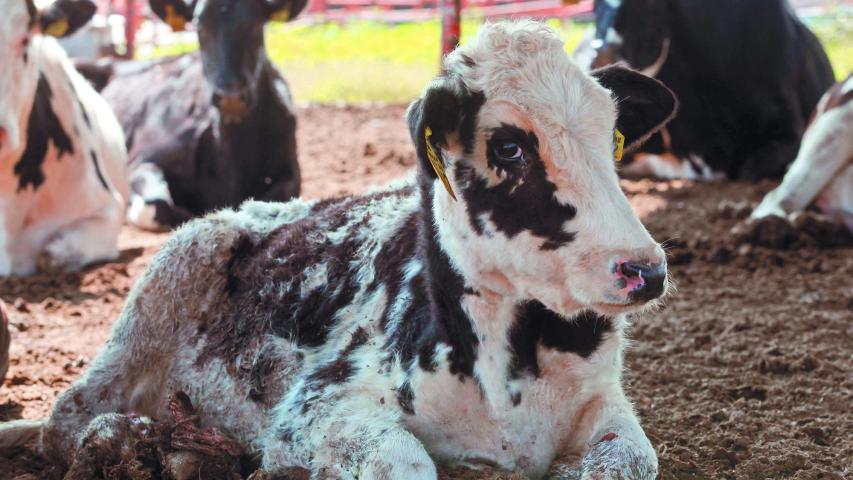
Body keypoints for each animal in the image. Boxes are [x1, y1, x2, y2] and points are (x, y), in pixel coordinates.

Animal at [100, 0, 306, 231]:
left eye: (256, 25)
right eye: (200, 29)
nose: (231, 95)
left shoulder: (290, 169)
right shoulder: (142, 158)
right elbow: (156, 205)